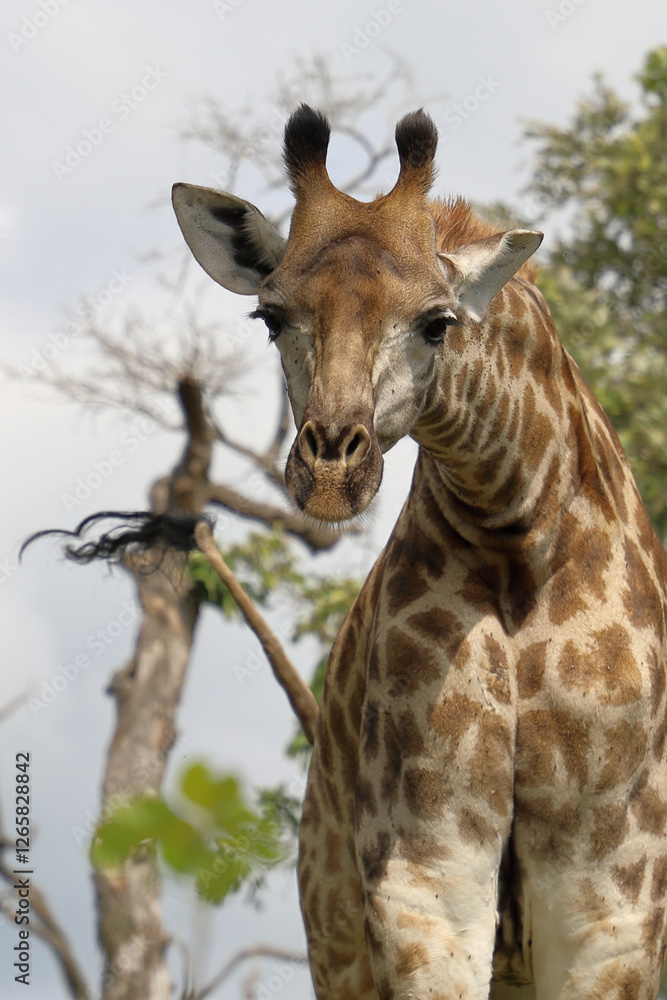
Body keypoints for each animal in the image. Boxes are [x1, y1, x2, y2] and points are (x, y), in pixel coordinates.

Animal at [172, 106, 667, 1000]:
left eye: (437, 321)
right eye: (271, 317)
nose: (331, 472)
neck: (516, 529)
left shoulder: (613, 892)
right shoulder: (424, 874)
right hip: (335, 929)